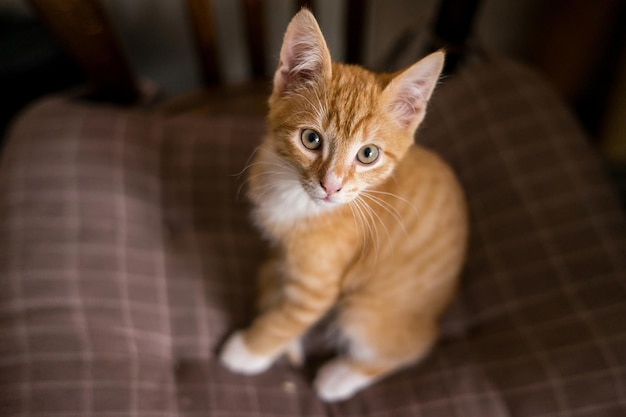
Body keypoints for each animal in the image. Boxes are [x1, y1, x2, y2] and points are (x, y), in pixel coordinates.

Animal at [217, 8, 466, 400]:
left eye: (368, 154)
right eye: (310, 138)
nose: (330, 185)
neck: (296, 196)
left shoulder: (318, 285)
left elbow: (288, 318)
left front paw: (247, 351)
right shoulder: (282, 252)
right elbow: (272, 280)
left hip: (366, 311)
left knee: (413, 346)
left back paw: (339, 377)